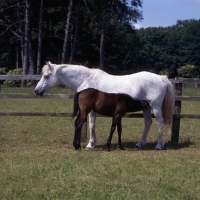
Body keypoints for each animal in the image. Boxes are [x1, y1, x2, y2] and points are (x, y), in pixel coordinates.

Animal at [35, 61, 174, 150]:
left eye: (46, 76)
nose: (36, 91)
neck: (86, 79)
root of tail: (161, 78)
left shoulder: (90, 111)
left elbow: (91, 125)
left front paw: (90, 145)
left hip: (155, 107)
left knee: (159, 123)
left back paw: (159, 145)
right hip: (147, 107)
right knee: (148, 122)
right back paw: (140, 144)